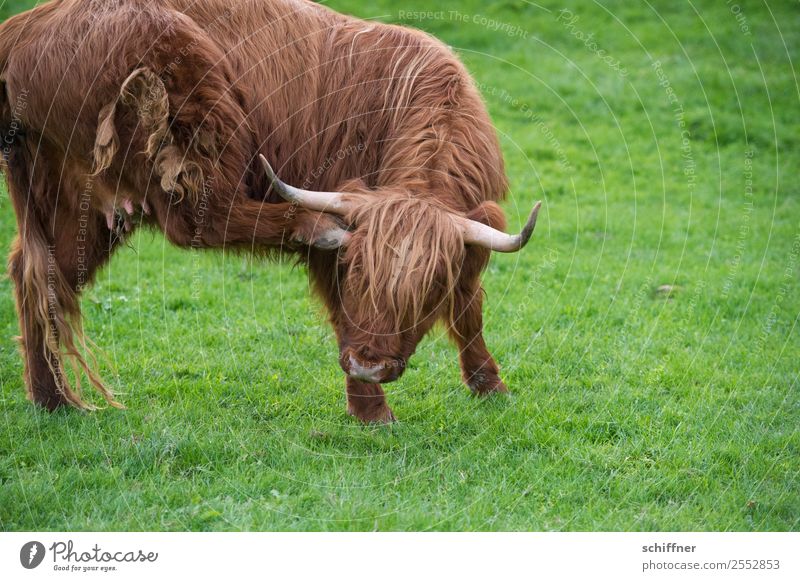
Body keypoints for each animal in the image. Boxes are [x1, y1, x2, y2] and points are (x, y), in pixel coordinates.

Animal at [0, 0, 540, 422]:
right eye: (356, 271)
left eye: (428, 289)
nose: (369, 365)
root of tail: (23, 27)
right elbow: (344, 313)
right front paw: (371, 410)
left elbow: (469, 308)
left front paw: (489, 384)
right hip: (187, 112)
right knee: (195, 220)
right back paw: (316, 225)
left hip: (79, 197)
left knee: (39, 272)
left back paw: (52, 398)